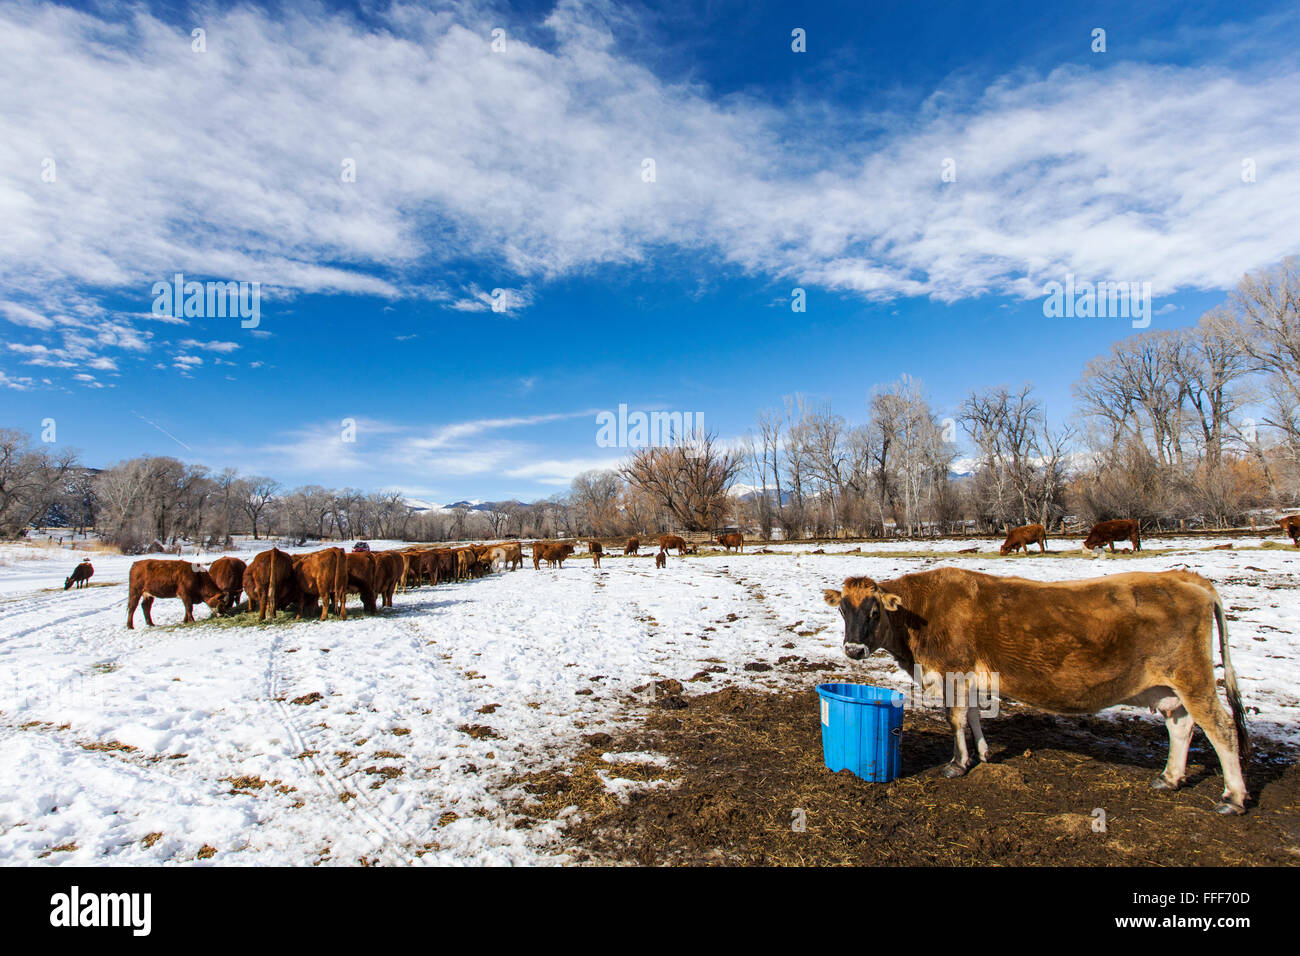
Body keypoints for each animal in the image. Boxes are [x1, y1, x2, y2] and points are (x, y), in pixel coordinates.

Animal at [821, 567, 1248, 816]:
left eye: (874, 611)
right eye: (842, 611)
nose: (853, 650)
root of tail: (1184, 577)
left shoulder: (954, 672)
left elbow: (956, 718)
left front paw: (958, 763)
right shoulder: (971, 678)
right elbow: (974, 716)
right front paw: (984, 754)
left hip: (1193, 677)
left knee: (1222, 730)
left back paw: (1232, 798)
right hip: (1168, 686)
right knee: (1181, 726)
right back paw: (1171, 777)